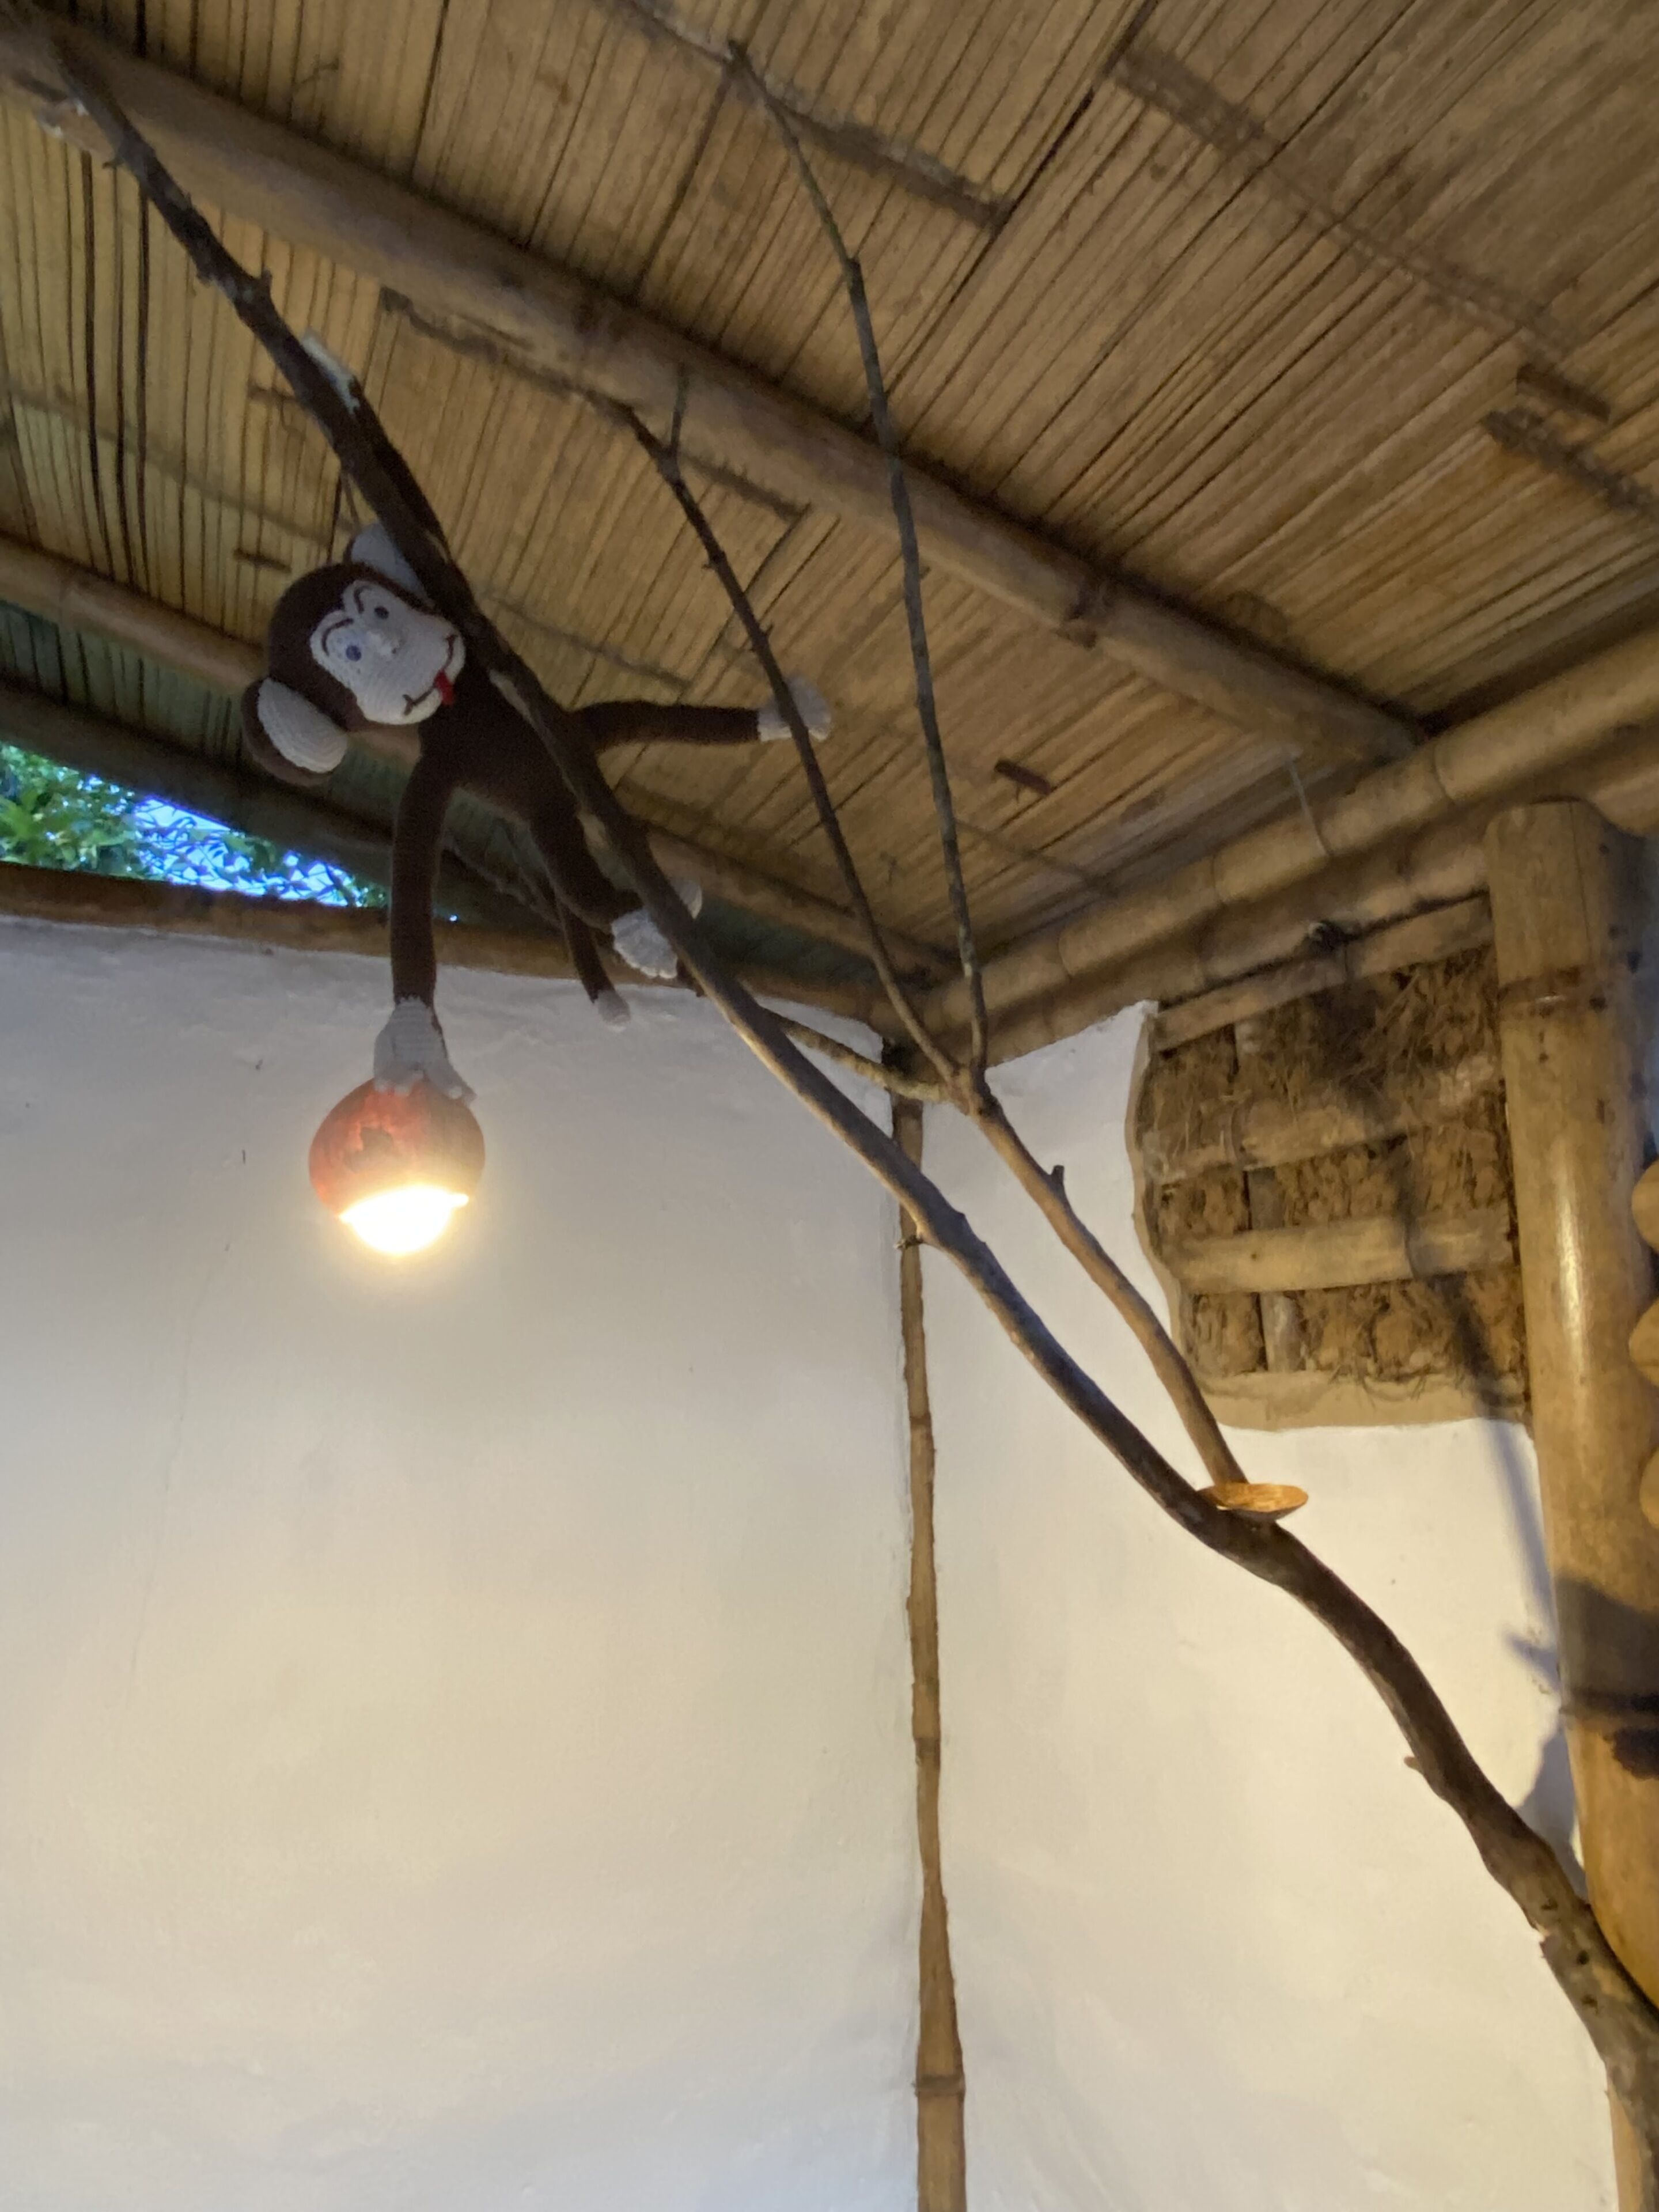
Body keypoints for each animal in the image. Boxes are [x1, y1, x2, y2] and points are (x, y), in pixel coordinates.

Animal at [241, 498, 830, 1102]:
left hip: (575, 736)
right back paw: (645, 929)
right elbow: (410, 888)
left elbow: (437, 545)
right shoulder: (436, 773)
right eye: (353, 655)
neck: (455, 705)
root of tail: (570, 790)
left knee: (654, 720)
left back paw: (785, 717)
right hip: (548, 808)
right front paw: (416, 1043)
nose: (392, 647)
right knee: (576, 885)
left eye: (381, 610)